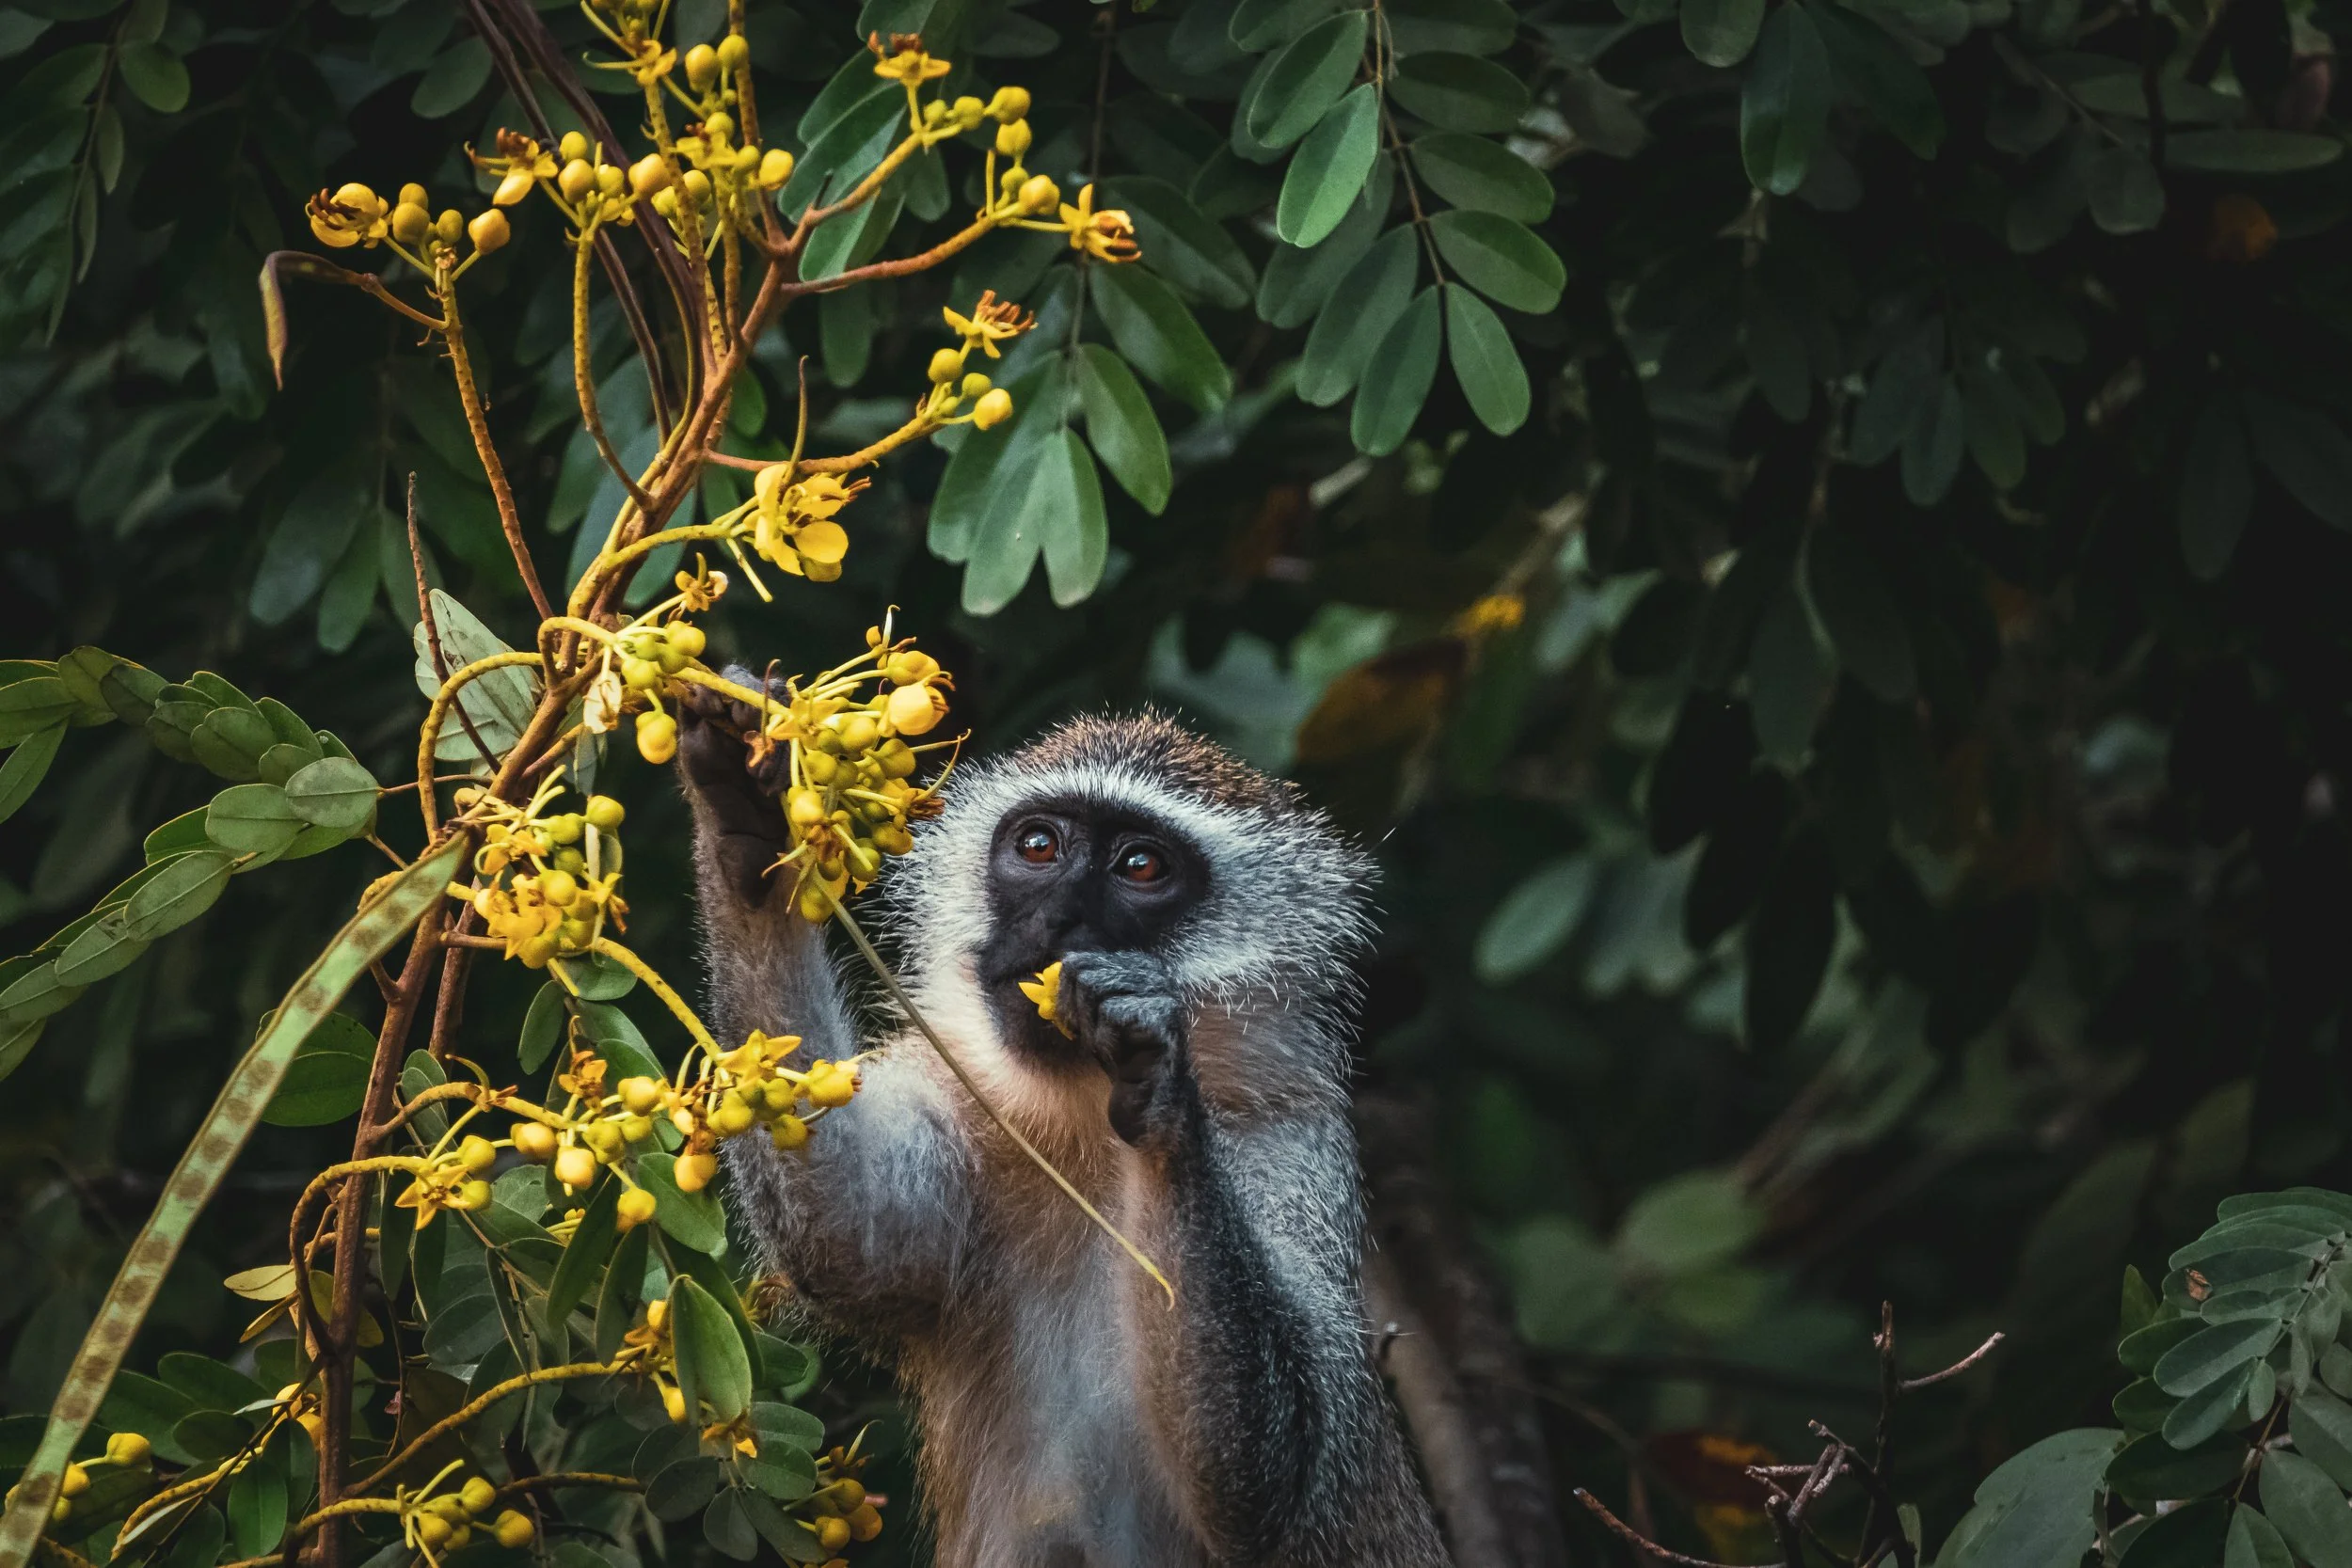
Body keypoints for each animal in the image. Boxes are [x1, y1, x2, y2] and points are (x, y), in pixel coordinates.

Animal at [677, 679, 1449, 1568]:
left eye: (1141, 866)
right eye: (1040, 847)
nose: (1053, 923)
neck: (1084, 1133)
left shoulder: (1289, 1141)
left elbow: (1280, 1471)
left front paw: (1158, 1076)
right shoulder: (963, 1098)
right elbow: (852, 1240)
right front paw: (747, 827)